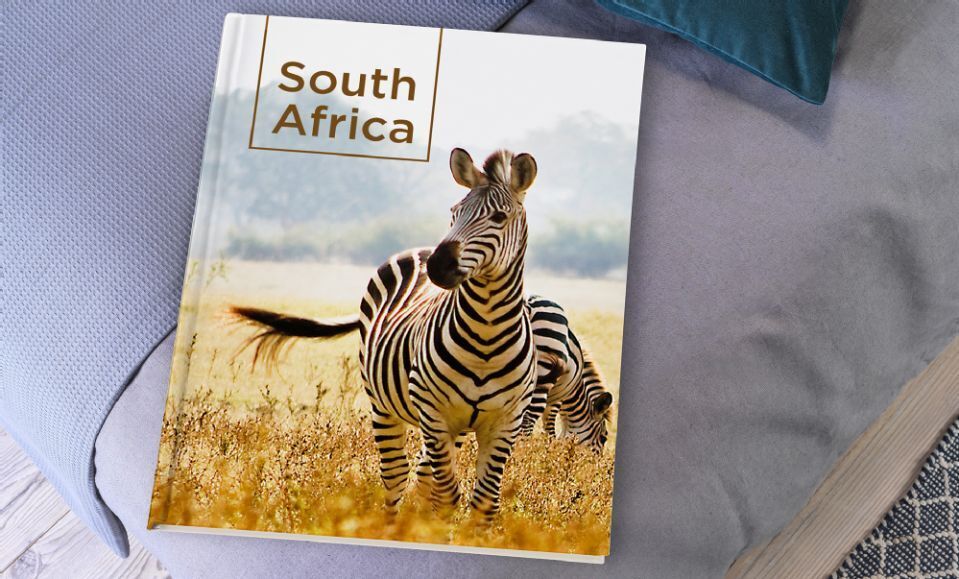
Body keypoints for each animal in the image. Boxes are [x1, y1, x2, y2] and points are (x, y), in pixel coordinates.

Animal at [231, 148, 538, 518]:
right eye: (454, 213)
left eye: (498, 217)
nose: (437, 267)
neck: (486, 335)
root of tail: (419, 250)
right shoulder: (433, 410)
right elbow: (447, 495)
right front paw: (435, 528)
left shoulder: (506, 421)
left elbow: (484, 503)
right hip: (385, 405)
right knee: (397, 474)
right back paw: (392, 523)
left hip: (451, 427)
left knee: (422, 474)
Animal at [521, 295, 613, 452]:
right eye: (603, 438)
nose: (595, 462)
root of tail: (530, 304)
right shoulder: (556, 399)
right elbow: (550, 430)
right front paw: (549, 452)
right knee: (527, 422)